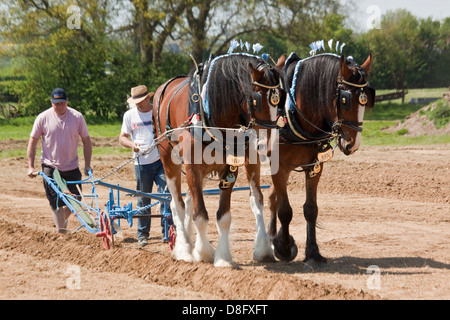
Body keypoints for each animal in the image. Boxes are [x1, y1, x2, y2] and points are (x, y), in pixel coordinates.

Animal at [151, 53, 284, 268]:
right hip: (169, 160)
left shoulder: (229, 168)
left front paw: (222, 258)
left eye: (280, 97)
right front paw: (204, 252)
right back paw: (184, 249)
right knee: (177, 204)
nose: (267, 143)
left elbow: (224, 216)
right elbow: (200, 215)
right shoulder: (192, 167)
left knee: (192, 200)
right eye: (255, 98)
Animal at [268, 52, 374, 264]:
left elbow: (310, 209)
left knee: (270, 198)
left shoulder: (314, 166)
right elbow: (285, 211)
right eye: (345, 100)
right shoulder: (278, 166)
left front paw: (313, 252)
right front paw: (284, 247)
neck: (293, 113)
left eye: (366, 100)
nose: (352, 144)